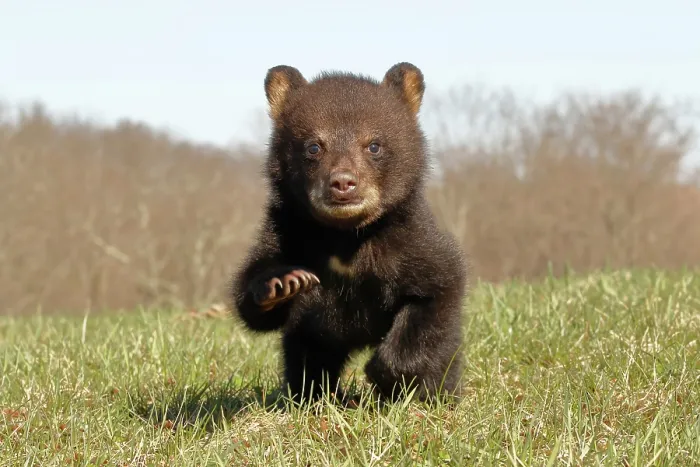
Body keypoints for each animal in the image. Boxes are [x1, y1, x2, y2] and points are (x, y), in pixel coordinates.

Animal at [229, 62, 469, 405]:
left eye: (374, 145)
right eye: (314, 146)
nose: (343, 182)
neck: (346, 236)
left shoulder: (412, 244)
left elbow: (437, 289)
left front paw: (384, 375)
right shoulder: (287, 232)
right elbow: (252, 299)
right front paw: (284, 283)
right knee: (306, 360)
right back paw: (315, 396)